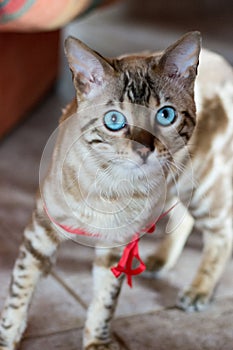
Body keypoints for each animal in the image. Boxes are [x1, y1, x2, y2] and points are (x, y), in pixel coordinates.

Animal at [0, 31, 233, 348]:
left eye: (166, 115)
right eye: (114, 121)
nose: (144, 149)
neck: (110, 185)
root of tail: (220, 60)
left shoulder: (117, 246)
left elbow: (104, 301)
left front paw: (97, 342)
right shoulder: (40, 232)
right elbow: (18, 294)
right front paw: (7, 339)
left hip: (200, 182)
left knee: (222, 233)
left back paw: (199, 290)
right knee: (184, 217)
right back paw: (160, 261)